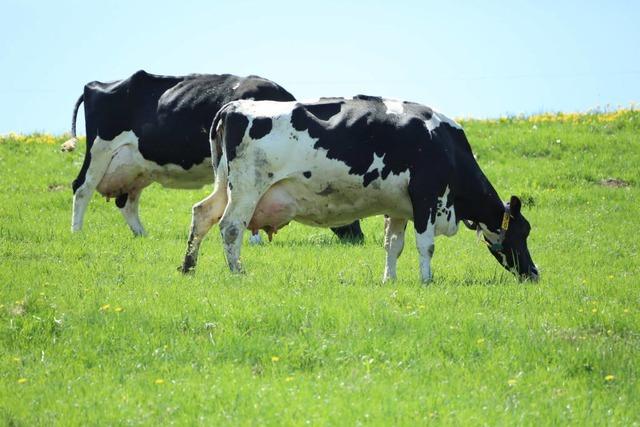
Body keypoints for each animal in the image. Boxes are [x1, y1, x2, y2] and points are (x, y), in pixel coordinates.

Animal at [67, 71, 362, 244]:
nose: (357, 237)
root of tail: (97, 84)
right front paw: (254, 241)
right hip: (99, 150)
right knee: (82, 187)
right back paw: (77, 232)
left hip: (137, 165)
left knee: (127, 202)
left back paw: (143, 236)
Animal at [180, 97, 540, 284]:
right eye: (522, 232)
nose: (534, 273)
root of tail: (234, 106)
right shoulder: (426, 196)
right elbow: (426, 245)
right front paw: (426, 280)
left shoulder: (399, 206)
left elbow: (393, 245)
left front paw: (389, 280)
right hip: (247, 187)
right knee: (230, 227)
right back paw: (238, 272)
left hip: (225, 185)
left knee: (202, 214)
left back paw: (188, 267)